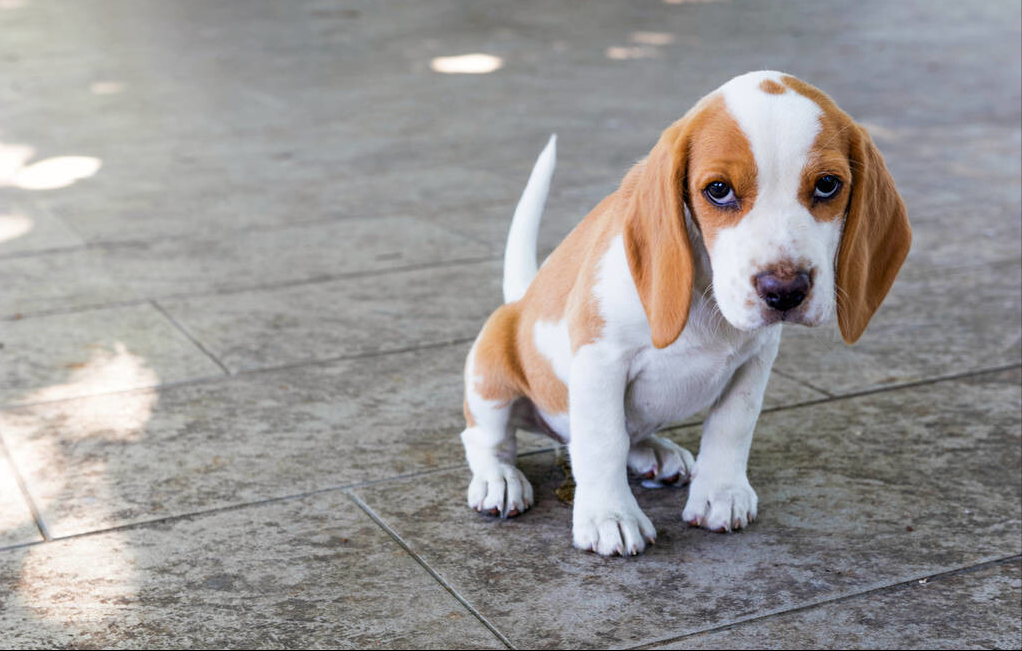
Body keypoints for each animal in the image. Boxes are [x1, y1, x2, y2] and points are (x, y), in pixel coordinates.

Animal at [459, 73, 915, 555]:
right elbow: (603, 441)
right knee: (487, 438)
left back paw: (655, 452)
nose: (785, 291)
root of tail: (520, 299)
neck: (707, 298)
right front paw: (609, 516)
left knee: (629, 433)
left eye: (828, 185)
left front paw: (721, 492)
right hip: (491, 373)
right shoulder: (601, 359)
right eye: (718, 190)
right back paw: (499, 478)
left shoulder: (756, 360)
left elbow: (732, 425)